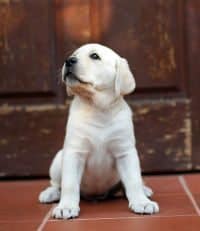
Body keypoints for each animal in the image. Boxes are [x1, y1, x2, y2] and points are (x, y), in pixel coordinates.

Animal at [38, 43, 159, 218]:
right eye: (74, 54)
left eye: (94, 56)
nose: (68, 60)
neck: (98, 109)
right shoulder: (74, 152)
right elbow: (69, 184)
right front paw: (66, 207)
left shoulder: (125, 152)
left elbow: (133, 181)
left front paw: (142, 202)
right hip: (58, 159)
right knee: (56, 183)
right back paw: (50, 193)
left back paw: (144, 190)